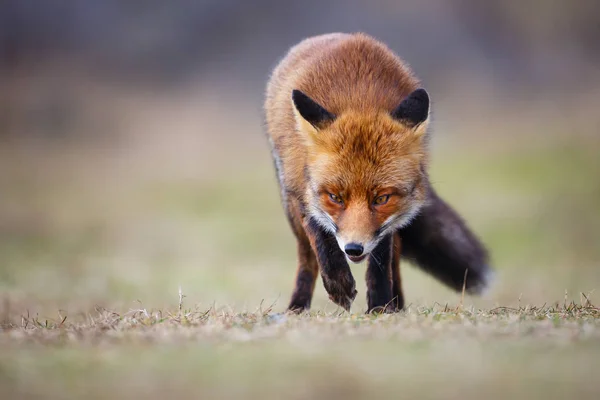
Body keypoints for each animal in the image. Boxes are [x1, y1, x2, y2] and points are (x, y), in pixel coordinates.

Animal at [264, 33, 490, 312]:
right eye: (335, 197)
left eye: (381, 198)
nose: (353, 249)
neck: (358, 98)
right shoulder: (301, 192)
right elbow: (322, 239)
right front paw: (339, 285)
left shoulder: (389, 220)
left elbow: (382, 260)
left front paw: (380, 306)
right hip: (291, 209)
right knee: (307, 258)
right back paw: (297, 307)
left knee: (395, 257)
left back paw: (398, 304)